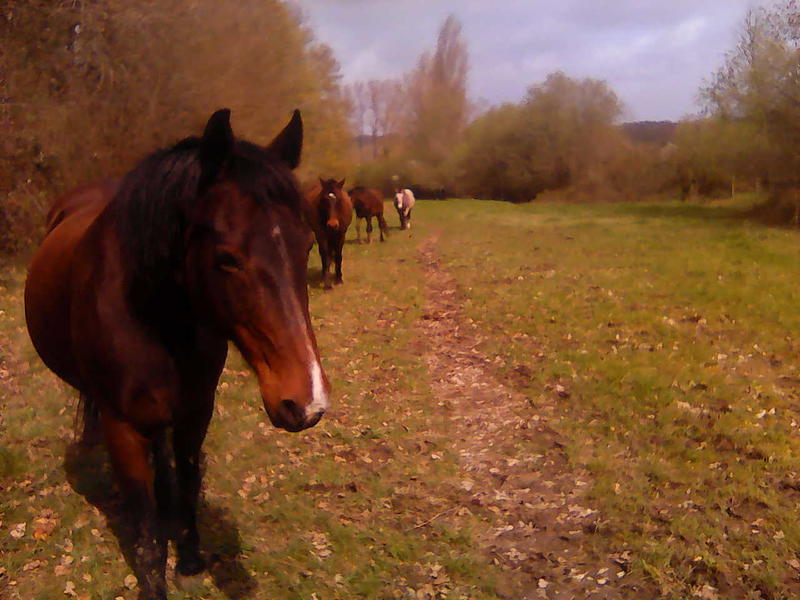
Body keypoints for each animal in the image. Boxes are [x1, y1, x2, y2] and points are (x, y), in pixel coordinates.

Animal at [24, 109, 330, 600]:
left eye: (306, 245)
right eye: (226, 258)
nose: (307, 402)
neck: (154, 314)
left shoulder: (195, 412)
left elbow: (186, 480)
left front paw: (188, 557)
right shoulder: (124, 428)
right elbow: (144, 523)